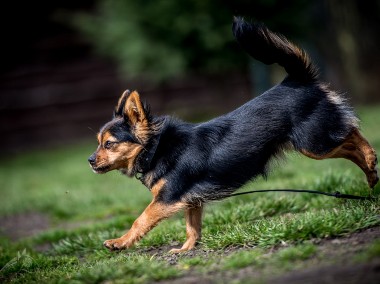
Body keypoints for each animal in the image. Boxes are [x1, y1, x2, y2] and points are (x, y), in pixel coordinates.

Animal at [88, 17, 378, 253]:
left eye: (109, 144)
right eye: (98, 144)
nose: (90, 160)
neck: (157, 147)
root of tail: (296, 81)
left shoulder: (167, 198)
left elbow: (141, 219)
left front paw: (119, 242)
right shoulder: (190, 200)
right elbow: (192, 226)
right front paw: (186, 249)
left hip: (314, 143)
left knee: (352, 134)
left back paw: (370, 158)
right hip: (316, 144)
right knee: (349, 143)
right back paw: (370, 174)